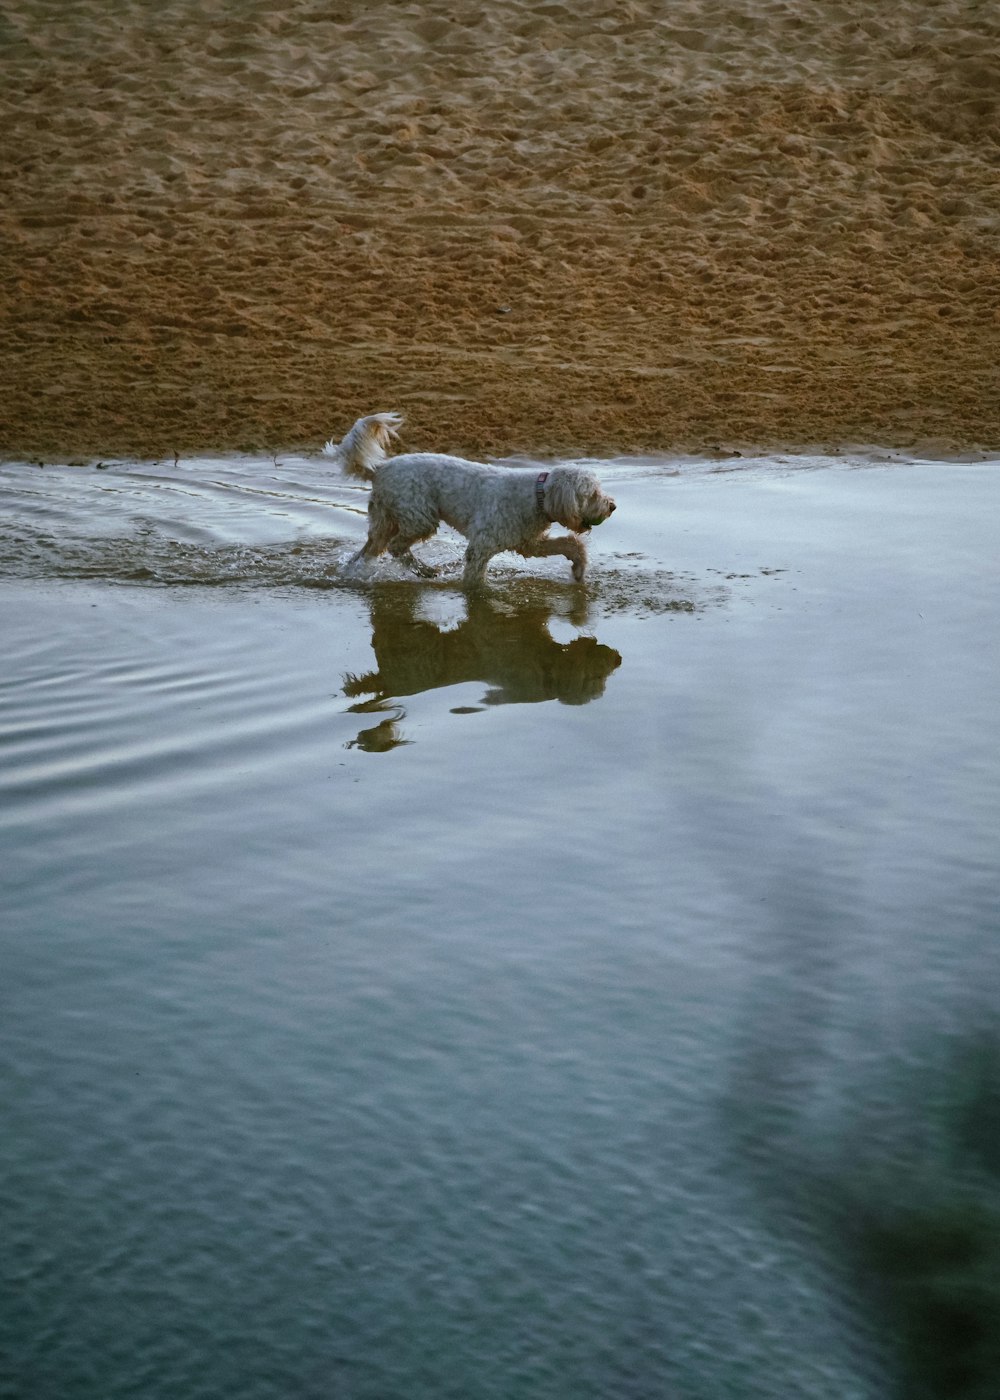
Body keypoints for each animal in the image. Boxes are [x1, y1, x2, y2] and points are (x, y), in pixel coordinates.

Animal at [323, 408, 610, 585]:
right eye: (593, 494)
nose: (613, 507)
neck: (536, 497)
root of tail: (380, 470)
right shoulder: (481, 547)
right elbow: (474, 580)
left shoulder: (529, 544)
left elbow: (571, 544)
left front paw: (579, 570)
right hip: (419, 518)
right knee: (396, 547)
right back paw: (425, 570)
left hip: (385, 521)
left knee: (370, 551)